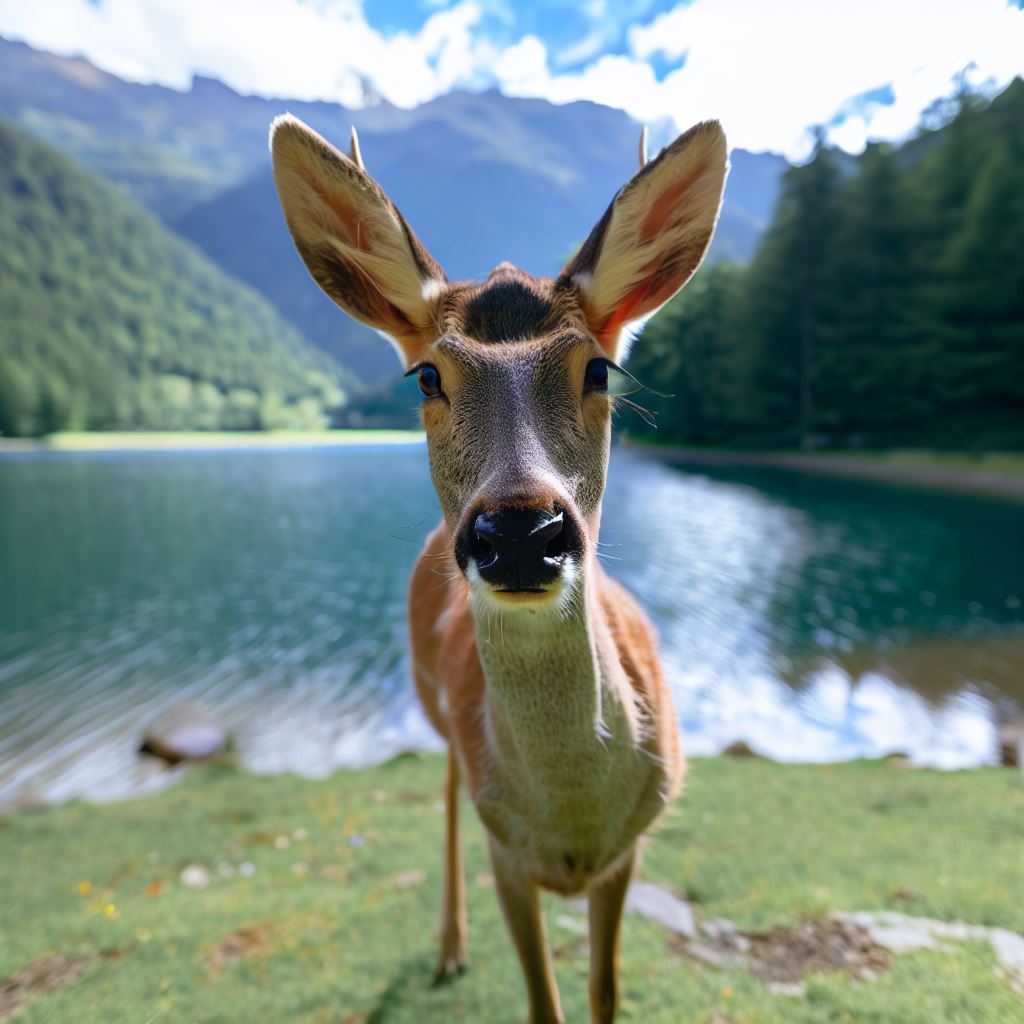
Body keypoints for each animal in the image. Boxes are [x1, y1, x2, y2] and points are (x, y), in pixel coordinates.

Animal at [272, 112, 729, 1024]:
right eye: (426, 374)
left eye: (599, 367)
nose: (521, 530)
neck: (573, 831)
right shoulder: (507, 856)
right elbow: (544, 1002)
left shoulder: (629, 852)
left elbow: (604, 990)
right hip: (435, 712)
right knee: (449, 789)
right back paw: (450, 945)